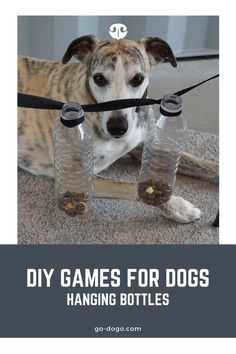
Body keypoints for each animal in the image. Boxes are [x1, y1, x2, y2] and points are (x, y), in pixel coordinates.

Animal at [17, 36, 218, 224]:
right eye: (99, 78)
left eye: (138, 79)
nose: (117, 128)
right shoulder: (76, 175)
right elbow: (135, 186)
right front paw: (178, 206)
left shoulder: (143, 145)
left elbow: (200, 163)